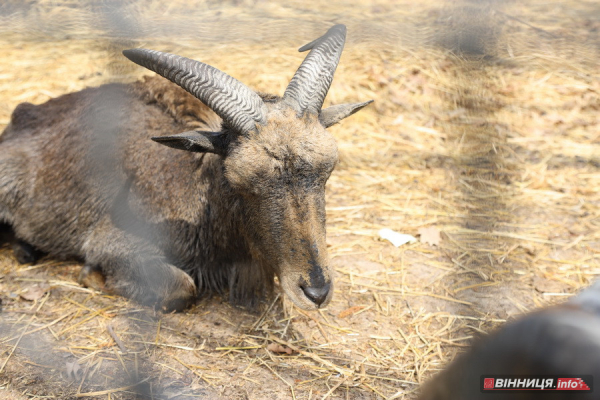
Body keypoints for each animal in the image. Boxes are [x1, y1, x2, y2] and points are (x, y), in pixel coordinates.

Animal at [0, 24, 370, 312]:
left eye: (327, 171)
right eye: (241, 181)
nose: (316, 292)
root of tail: (23, 114)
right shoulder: (114, 243)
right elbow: (181, 288)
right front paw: (92, 276)